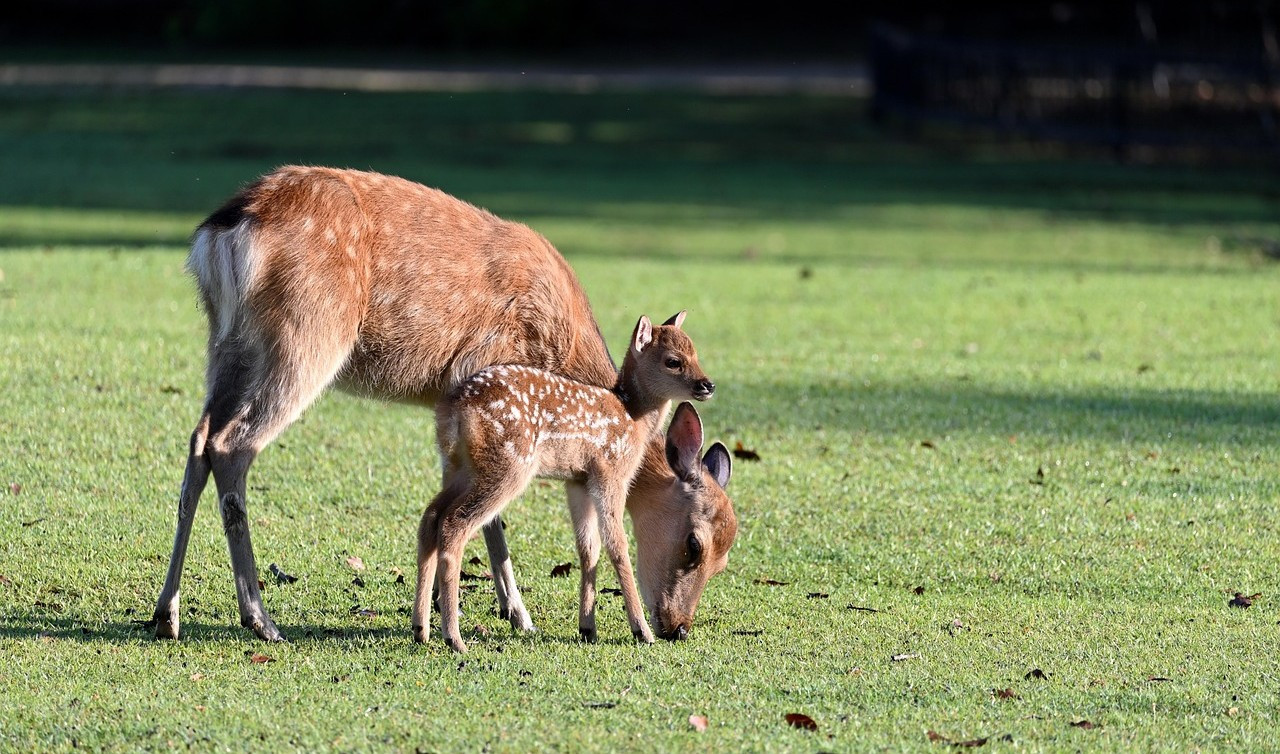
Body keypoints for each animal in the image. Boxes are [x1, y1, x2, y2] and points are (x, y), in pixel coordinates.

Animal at [415, 313, 722, 652]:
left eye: (695, 353)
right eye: (673, 361)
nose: (707, 384)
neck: (633, 417)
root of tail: (453, 410)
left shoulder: (578, 480)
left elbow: (588, 549)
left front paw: (587, 628)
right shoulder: (610, 472)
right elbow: (618, 546)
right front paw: (641, 631)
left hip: (459, 467)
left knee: (431, 517)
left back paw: (421, 629)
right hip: (507, 466)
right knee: (454, 524)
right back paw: (454, 637)